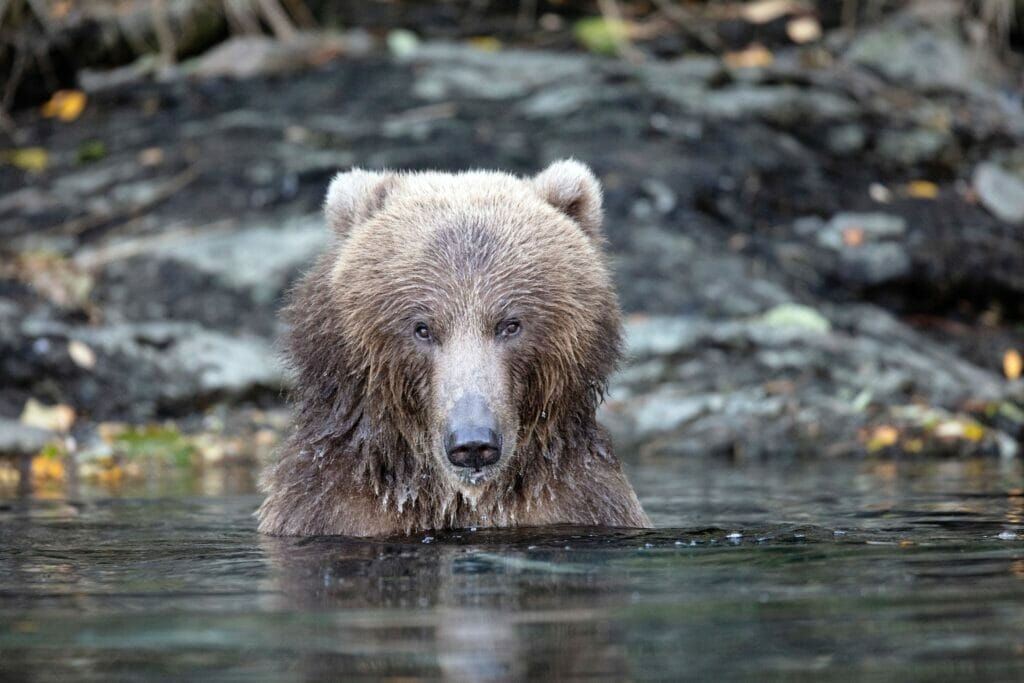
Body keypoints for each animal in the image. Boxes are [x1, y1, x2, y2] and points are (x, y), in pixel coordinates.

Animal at [260, 161, 651, 540]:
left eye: (510, 324)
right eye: (422, 328)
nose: (473, 443)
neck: (458, 499)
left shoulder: (577, 501)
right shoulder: (335, 508)